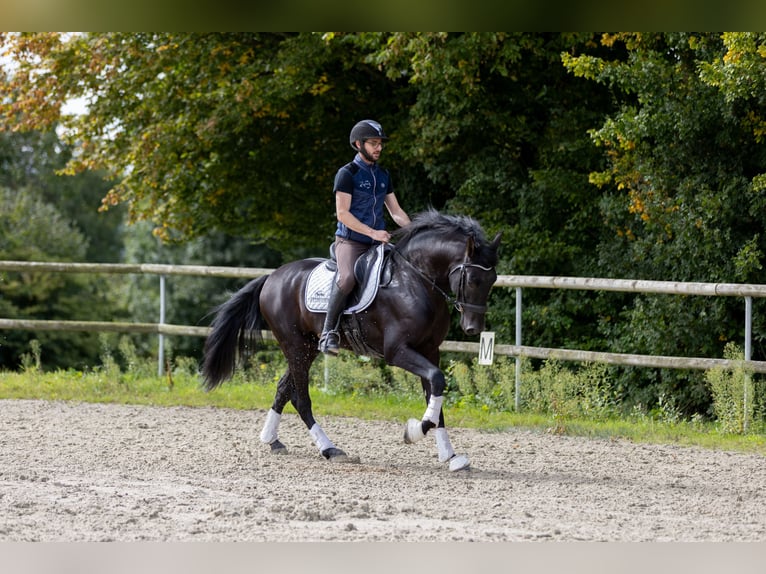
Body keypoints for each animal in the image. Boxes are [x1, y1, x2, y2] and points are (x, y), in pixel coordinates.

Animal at [202, 209, 501, 471]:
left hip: (307, 347)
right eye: (473, 279)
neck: (416, 280)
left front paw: (451, 456)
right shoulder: (398, 352)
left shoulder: (430, 350)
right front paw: (414, 431)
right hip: (295, 346)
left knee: (283, 388)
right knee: (301, 399)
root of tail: (272, 277)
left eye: (493, 279)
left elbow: (436, 395)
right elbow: (437, 382)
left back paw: (272, 440)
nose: (473, 328)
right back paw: (329, 449)